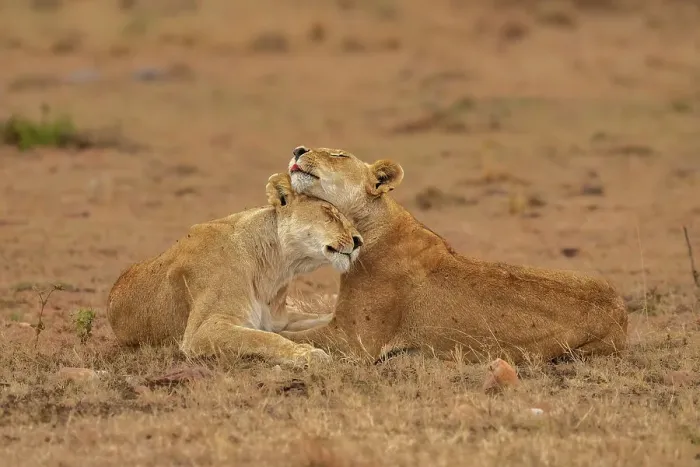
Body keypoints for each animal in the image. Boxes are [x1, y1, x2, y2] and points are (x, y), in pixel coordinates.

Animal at [106, 173, 363, 367]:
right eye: (329, 213)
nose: (359, 241)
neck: (276, 268)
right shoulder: (202, 331)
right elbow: (262, 339)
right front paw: (308, 354)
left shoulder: (279, 320)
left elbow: (318, 319)